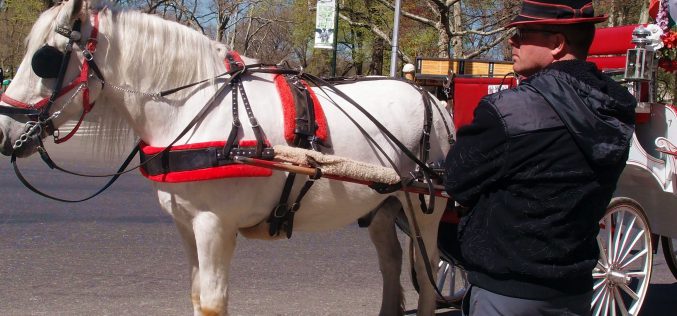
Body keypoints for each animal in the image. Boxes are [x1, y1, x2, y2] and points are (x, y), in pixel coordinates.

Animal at [1, 1, 454, 314]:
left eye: (46, 59)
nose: (5, 132)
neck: (195, 106)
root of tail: (433, 97)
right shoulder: (186, 225)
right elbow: (196, 295)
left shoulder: (214, 225)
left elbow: (214, 302)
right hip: (384, 203)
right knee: (391, 263)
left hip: (424, 207)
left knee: (428, 272)